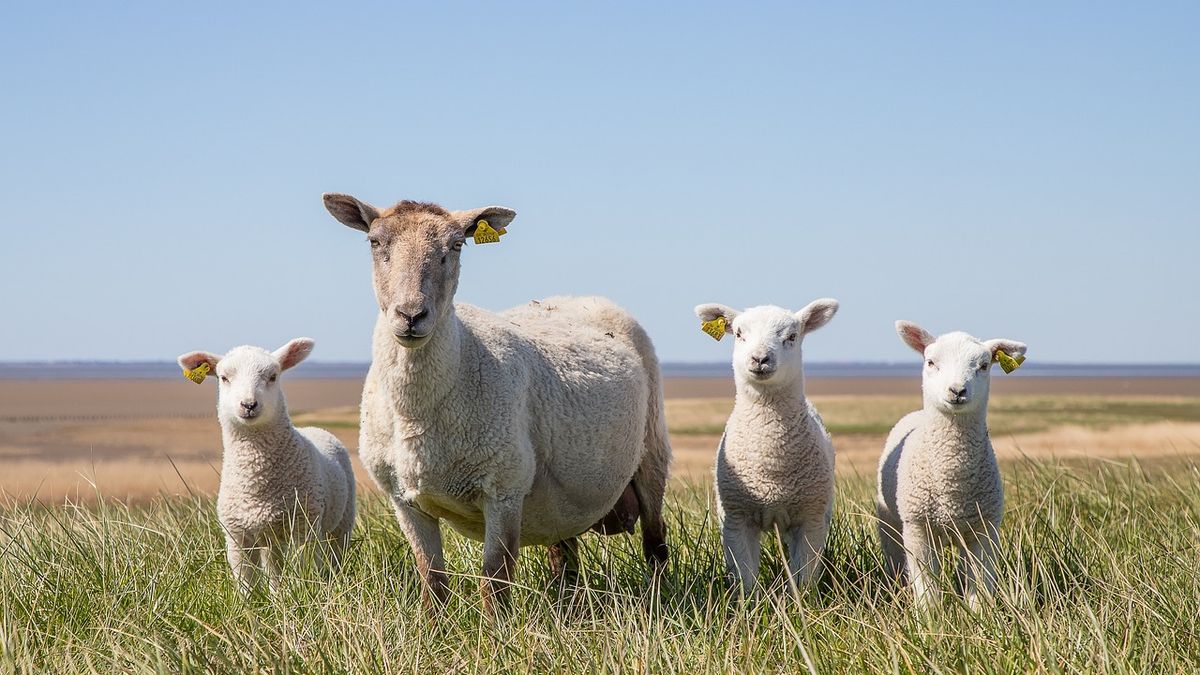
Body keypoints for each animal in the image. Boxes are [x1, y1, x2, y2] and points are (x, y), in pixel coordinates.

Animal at [175, 338, 355, 590]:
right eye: (223, 377)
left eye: (273, 376)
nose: (248, 404)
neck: (257, 483)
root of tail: (314, 428)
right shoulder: (236, 535)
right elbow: (245, 582)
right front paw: (252, 600)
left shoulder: (304, 526)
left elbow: (304, 569)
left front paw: (303, 592)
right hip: (270, 536)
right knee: (274, 568)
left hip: (341, 523)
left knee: (335, 554)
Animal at [696, 296, 844, 590]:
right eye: (739, 334)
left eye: (792, 336)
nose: (760, 359)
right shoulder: (736, 518)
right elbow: (745, 579)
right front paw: (750, 602)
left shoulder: (810, 518)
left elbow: (804, 577)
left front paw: (801, 601)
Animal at [878, 317, 1027, 607]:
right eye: (931, 362)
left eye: (983, 366)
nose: (957, 390)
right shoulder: (918, 529)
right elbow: (926, 588)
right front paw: (929, 617)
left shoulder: (985, 530)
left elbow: (980, 585)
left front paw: (979, 615)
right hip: (890, 523)